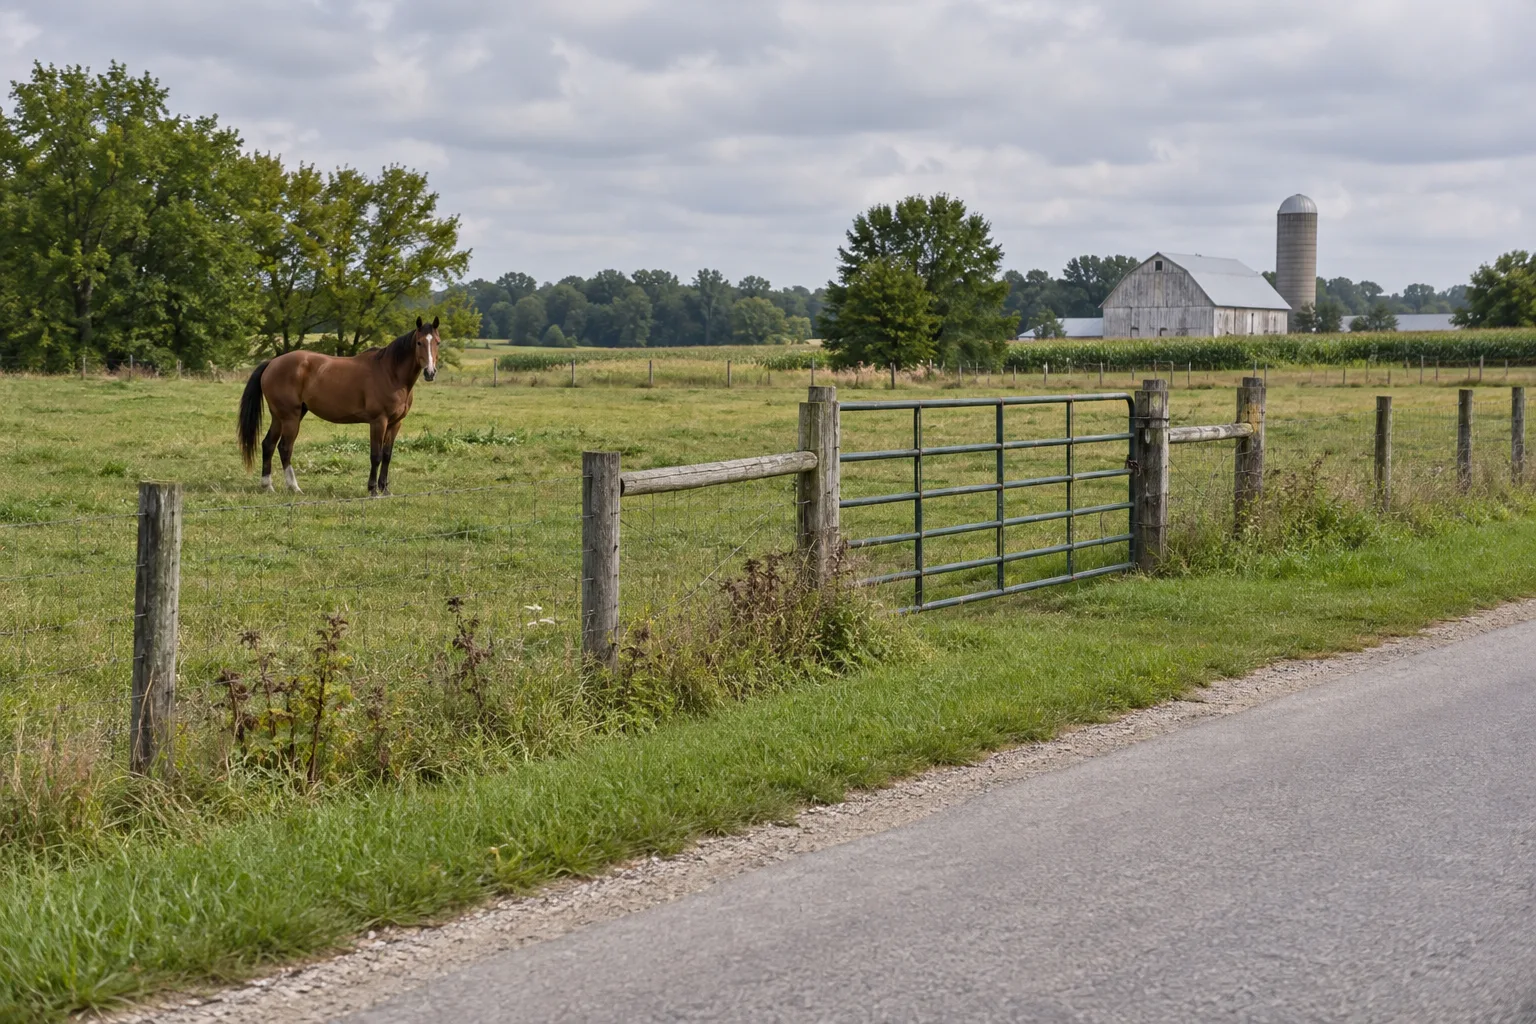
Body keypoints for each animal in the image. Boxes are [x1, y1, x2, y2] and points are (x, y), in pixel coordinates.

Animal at [238, 317, 440, 496]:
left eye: (437, 342)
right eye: (419, 343)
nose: (430, 373)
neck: (390, 373)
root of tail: (272, 362)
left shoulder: (395, 423)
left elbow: (387, 455)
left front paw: (385, 490)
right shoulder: (378, 421)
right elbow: (375, 456)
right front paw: (373, 490)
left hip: (280, 417)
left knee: (268, 444)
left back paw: (267, 486)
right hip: (290, 417)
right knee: (285, 448)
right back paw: (294, 487)